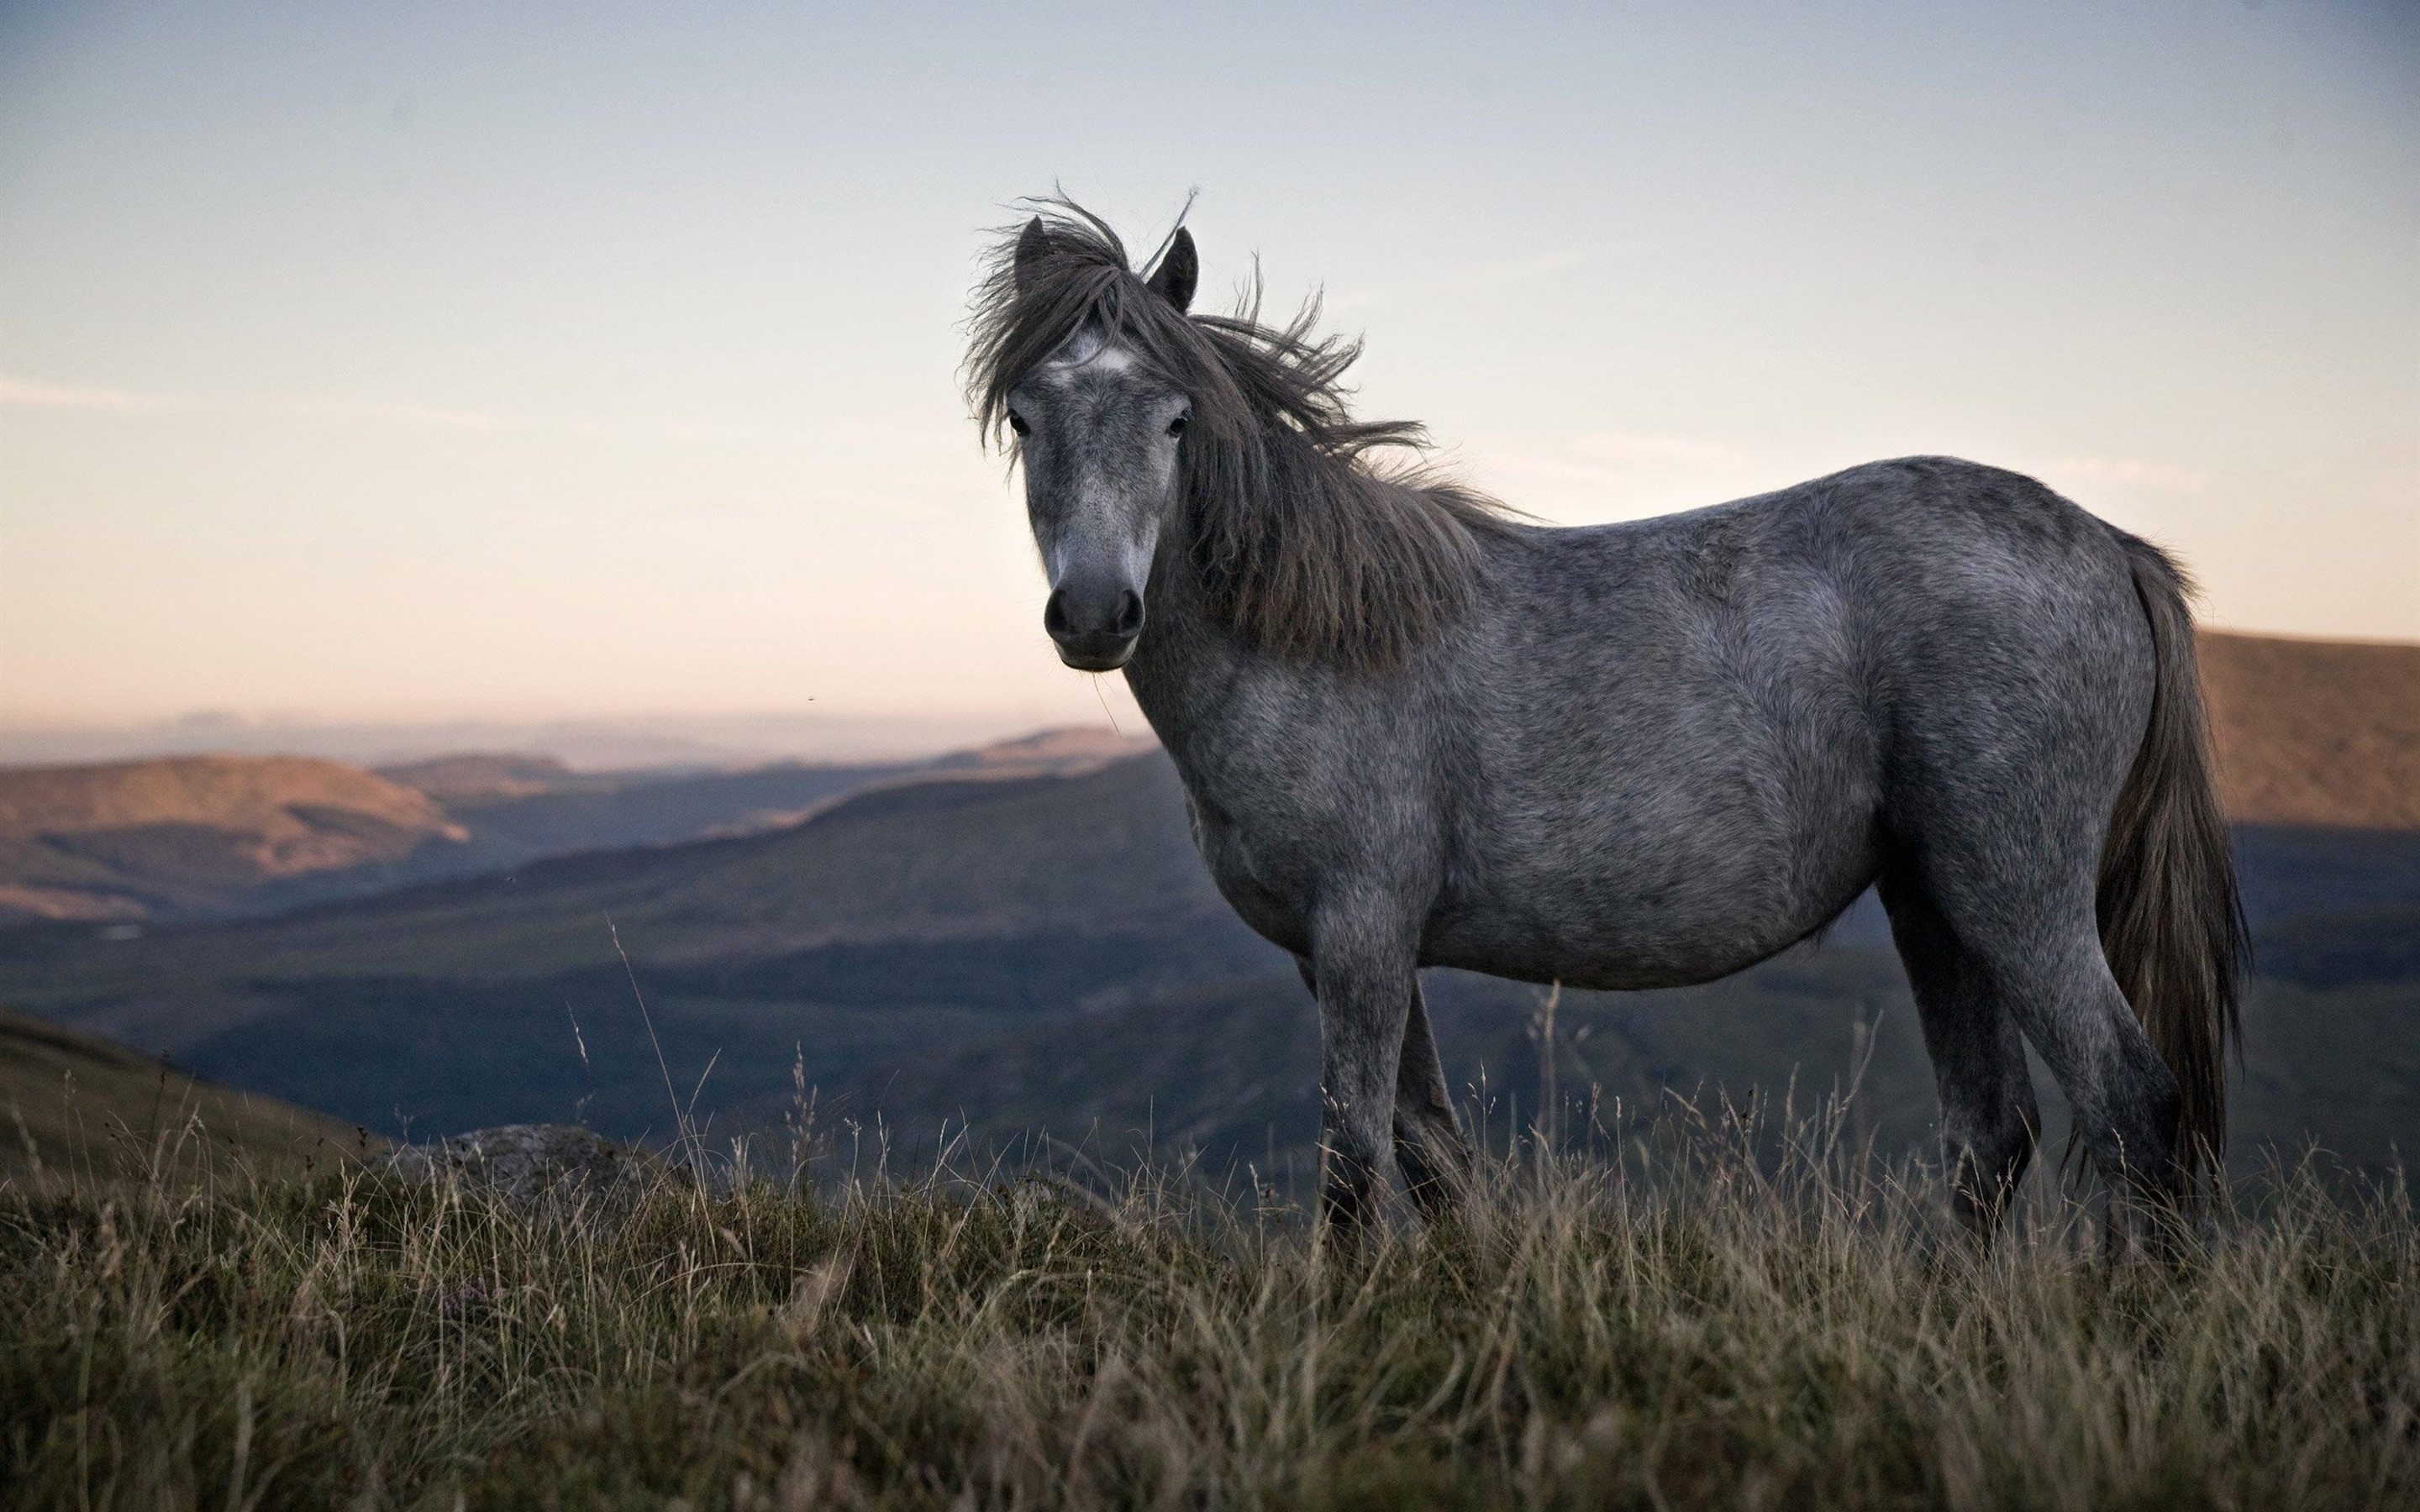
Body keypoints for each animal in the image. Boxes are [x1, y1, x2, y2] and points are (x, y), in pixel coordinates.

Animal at [963, 201, 2245, 1239]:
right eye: (1025, 417)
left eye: (1175, 420)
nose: (1096, 613)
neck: (1318, 639)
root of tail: (2111, 546)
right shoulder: (1338, 953)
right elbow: (1432, 1160)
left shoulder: (1363, 934)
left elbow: (1355, 1171)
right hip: (1934, 899)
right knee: (1993, 1133)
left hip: (2016, 894)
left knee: (2131, 1104)